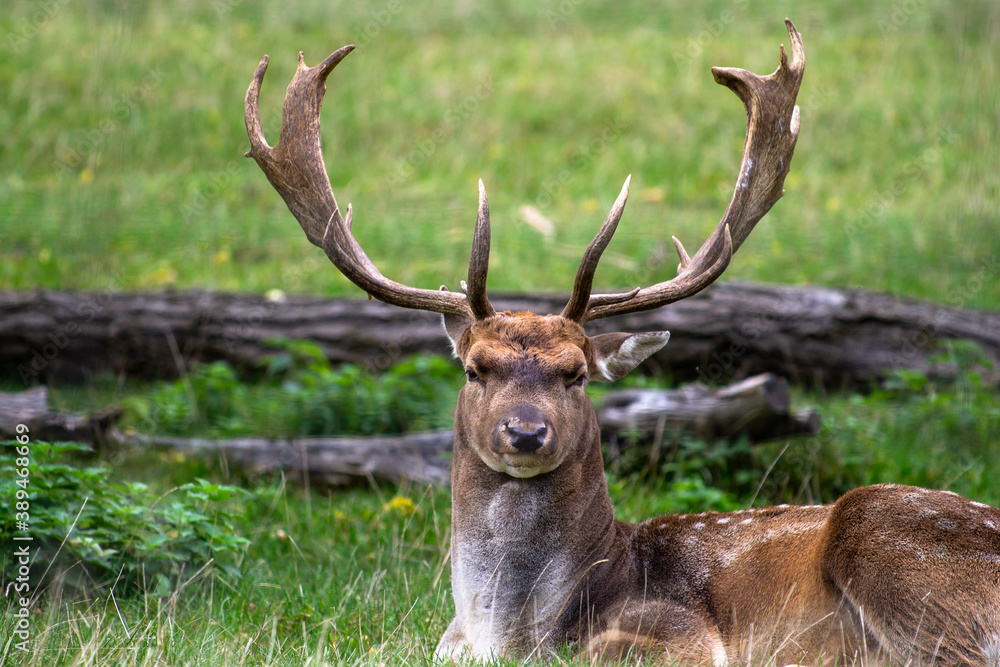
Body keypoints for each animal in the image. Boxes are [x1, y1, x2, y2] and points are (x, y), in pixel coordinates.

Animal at [244, 19, 1000, 666]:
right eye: (474, 368)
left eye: (576, 372)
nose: (525, 432)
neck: (504, 633)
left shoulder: (681, 634)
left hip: (890, 538)